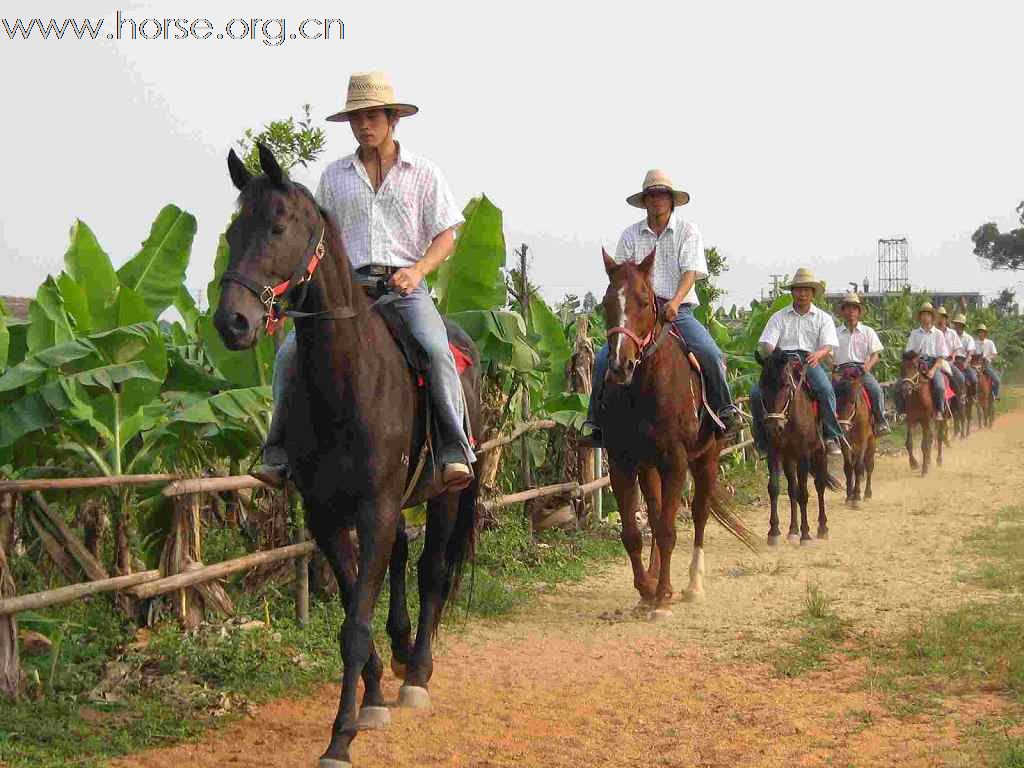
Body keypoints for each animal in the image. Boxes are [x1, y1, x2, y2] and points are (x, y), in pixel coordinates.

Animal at [216, 145, 479, 768]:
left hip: (446, 495)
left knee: (433, 570)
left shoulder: (375, 509)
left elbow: (357, 624)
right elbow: (349, 613)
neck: (347, 382)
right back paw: (402, 653)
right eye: (233, 231)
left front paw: (342, 735)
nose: (232, 322)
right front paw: (372, 697)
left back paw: (419, 672)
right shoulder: (327, 516)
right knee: (403, 558)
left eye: (278, 226)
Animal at [598, 252, 757, 618]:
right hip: (649, 468)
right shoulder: (622, 463)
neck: (642, 389)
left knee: (698, 513)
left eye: (644, 301)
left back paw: (692, 584)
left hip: (706, 460)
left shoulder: (677, 460)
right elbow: (634, 533)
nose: (620, 366)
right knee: (656, 518)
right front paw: (647, 590)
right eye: (606, 303)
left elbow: (670, 530)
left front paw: (662, 597)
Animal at [757, 354, 843, 548]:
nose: (774, 427)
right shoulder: (774, 453)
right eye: (762, 385)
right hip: (789, 458)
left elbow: (804, 494)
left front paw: (805, 534)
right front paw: (774, 532)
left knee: (819, 486)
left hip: (819, 453)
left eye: (786, 385)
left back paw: (822, 528)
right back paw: (792, 530)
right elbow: (775, 488)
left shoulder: (804, 455)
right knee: (792, 490)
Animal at [831, 368, 872, 512]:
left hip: (871, 442)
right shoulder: (845, 442)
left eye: (853, 401)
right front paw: (849, 497)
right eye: (835, 401)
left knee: (869, 466)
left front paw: (856, 498)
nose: (842, 427)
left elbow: (859, 467)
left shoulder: (862, 441)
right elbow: (848, 467)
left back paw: (867, 494)